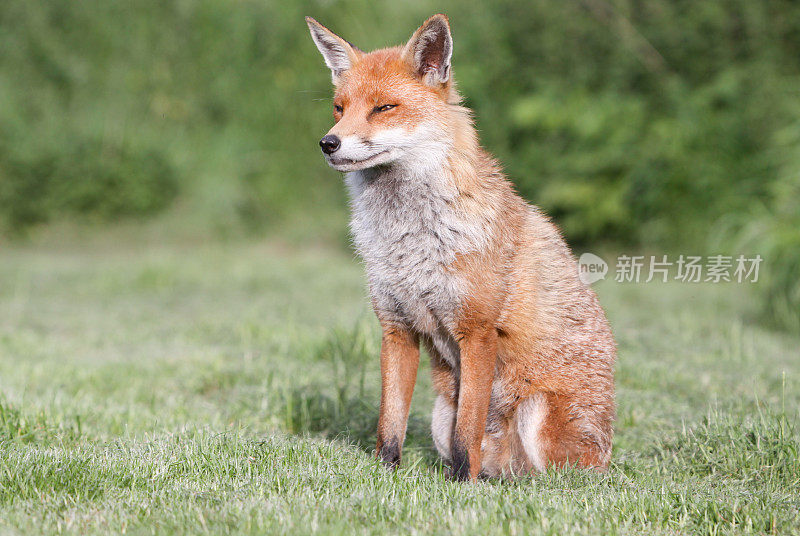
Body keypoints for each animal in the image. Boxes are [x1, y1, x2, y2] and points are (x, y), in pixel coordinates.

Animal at [310, 13, 616, 482]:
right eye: (339, 109)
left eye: (384, 108)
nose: (328, 143)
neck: (409, 239)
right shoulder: (396, 328)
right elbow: (389, 424)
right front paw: (384, 476)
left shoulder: (477, 332)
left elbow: (467, 430)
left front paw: (460, 486)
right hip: (440, 416)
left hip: (539, 417)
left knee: (554, 478)